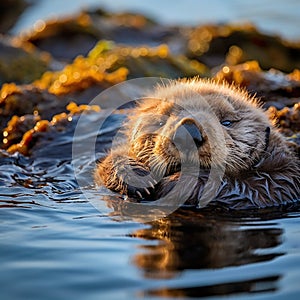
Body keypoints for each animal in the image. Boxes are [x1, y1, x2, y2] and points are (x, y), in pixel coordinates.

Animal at [94, 78, 300, 209]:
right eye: (161, 121)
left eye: (227, 122)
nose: (188, 131)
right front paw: (135, 175)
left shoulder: (283, 179)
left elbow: (256, 188)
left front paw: (176, 182)